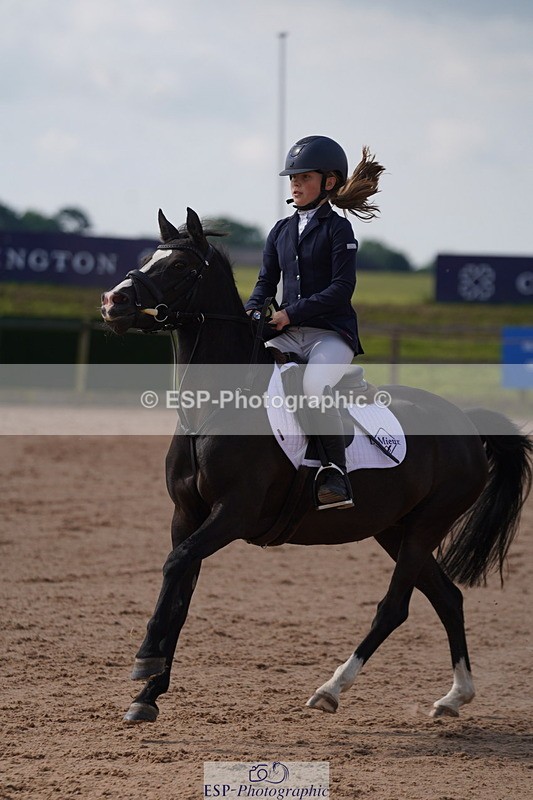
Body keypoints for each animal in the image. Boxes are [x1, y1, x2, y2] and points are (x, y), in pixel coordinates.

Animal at [100, 208, 532, 724]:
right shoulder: (187, 515)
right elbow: (179, 592)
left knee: (395, 607)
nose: (113, 302)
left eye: (181, 267)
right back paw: (454, 697)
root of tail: (465, 422)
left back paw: (331, 689)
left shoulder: (233, 514)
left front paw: (145, 661)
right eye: (150, 257)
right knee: (447, 597)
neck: (212, 408)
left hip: (427, 524)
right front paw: (148, 694)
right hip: (395, 528)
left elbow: (175, 564)